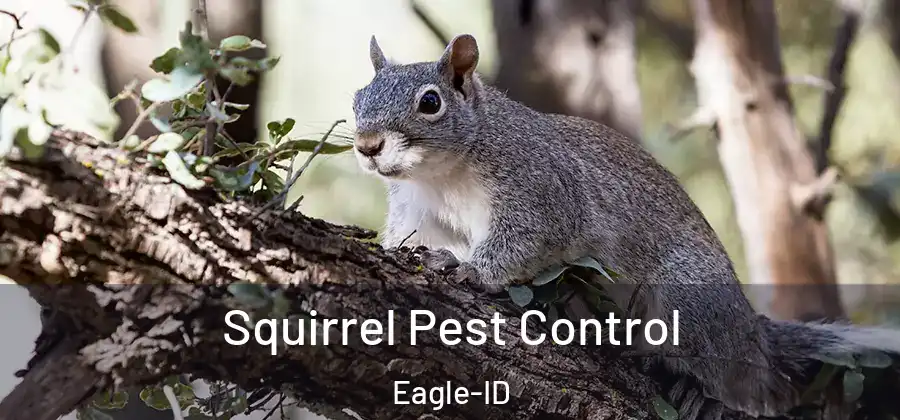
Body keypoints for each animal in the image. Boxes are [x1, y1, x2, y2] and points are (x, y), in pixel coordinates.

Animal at [350, 34, 900, 419]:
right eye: (358, 97)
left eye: (430, 102)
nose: (367, 145)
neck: (442, 174)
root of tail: (751, 332)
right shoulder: (419, 211)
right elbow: (409, 238)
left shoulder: (543, 190)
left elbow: (525, 240)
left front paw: (470, 270)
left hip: (690, 302)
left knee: (743, 382)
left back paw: (703, 392)